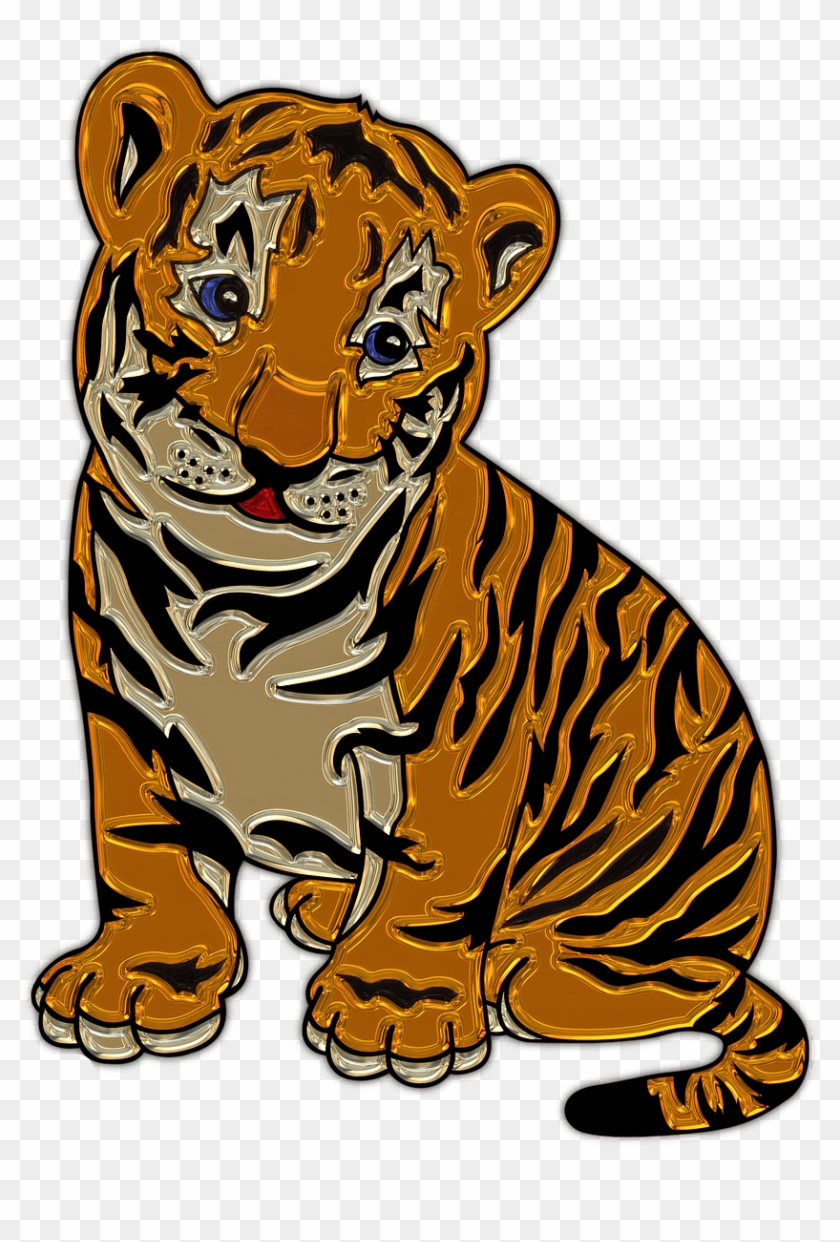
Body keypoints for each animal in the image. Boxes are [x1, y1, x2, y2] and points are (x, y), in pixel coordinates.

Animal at [32, 52, 807, 1136]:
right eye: (223, 296)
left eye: (387, 346)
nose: (280, 458)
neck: (231, 597)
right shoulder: (121, 699)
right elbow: (141, 837)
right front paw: (144, 978)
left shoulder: (461, 730)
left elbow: (435, 865)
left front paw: (391, 1010)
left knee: (660, 981)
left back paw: (515, 965)